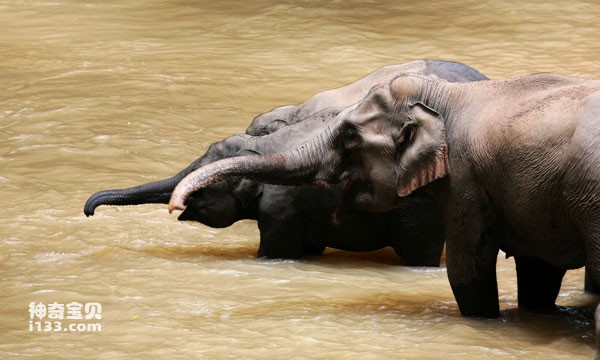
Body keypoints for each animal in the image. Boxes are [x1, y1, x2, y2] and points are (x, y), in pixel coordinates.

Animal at [169, 74, 600, 324]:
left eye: (349, 136)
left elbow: (467, 271)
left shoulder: (466, 180)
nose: (177, 206)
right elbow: (538, 273)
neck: (448, 95)